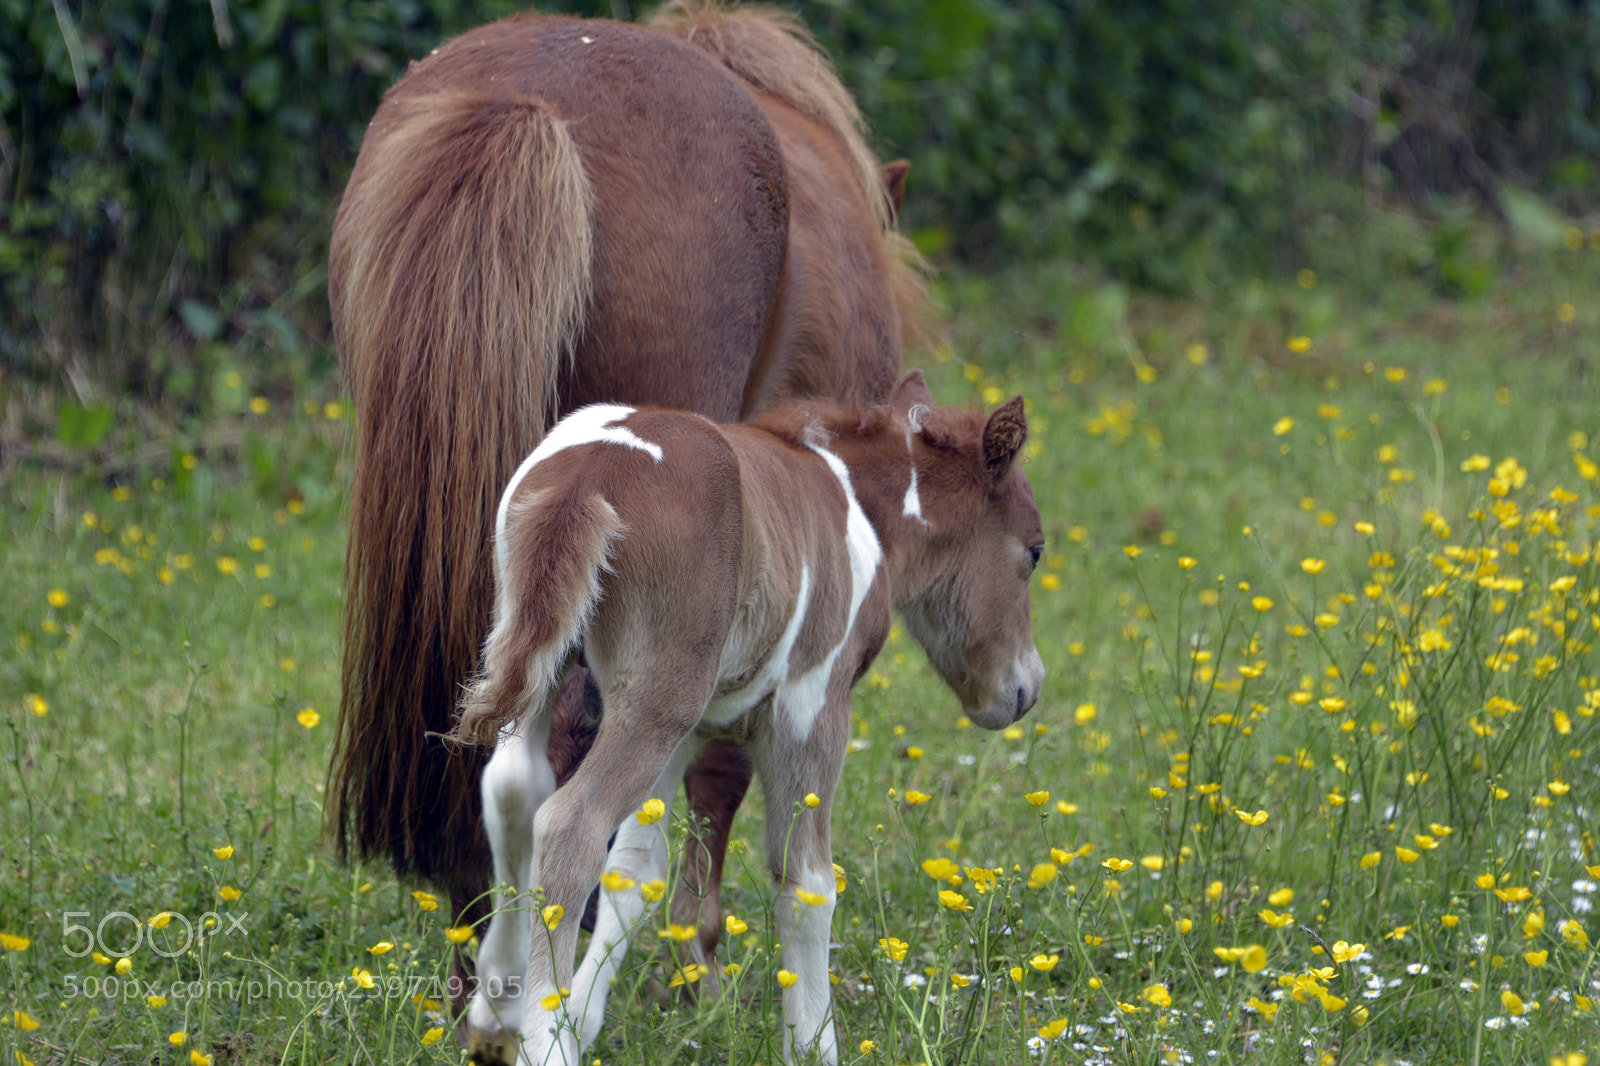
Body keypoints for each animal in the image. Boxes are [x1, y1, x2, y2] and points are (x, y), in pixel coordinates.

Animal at [450, 370, 1045, 1065]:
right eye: (1035, 551)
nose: (1025, 688)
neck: (854, 502)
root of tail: (593, 472)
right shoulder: (812, 708)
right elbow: (808, 882)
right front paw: (812, 1044)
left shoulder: (691, 731)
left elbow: (638, 870)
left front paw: (584, 1015)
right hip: (654, 701)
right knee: (570, 826)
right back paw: (548, 1044)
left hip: (572, 684)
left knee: (514, 792)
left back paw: (498, 1012)